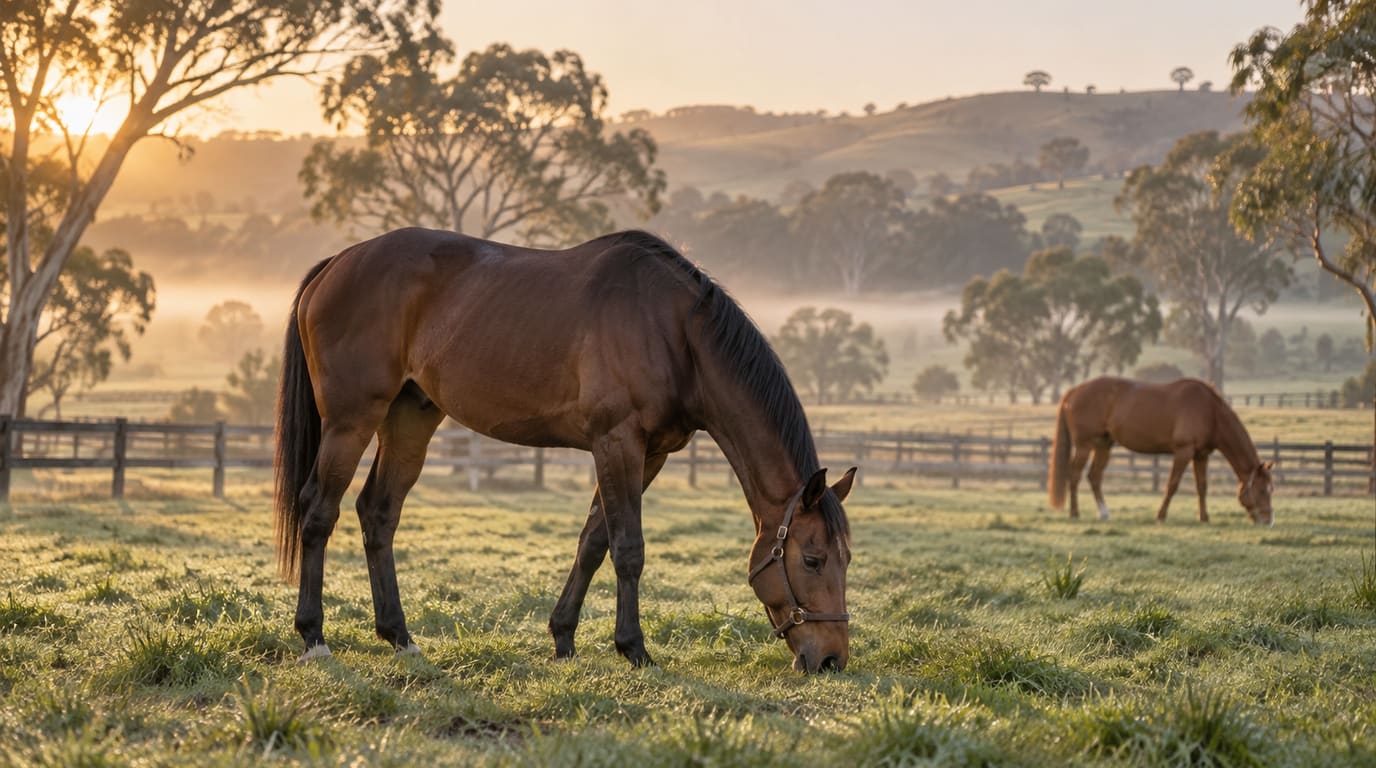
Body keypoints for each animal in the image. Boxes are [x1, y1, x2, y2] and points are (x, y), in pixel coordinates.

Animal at [273, 227, 857, 673]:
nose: (831, 659)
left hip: (410, 417)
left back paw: (400, 636)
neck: (673, 331)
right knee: (319, 511)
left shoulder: (649, 454)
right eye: (812, 558)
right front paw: (634, 649)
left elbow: (593, 541)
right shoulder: (617, 443)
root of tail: (336, 264)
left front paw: (563, 638)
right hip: (351, 419)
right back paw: (314, 637)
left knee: (378, 512)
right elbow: (628, 548)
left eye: (846, 558)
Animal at [1048, 377, 1274, 525]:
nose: (1268, 520)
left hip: (1103, 445)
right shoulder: (1183, 452)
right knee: (1074, 475)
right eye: (1262, 490)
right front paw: (1161, 516)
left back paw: (1104, 513)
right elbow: (1172, 485)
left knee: (1094, 477)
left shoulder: (1201, 456)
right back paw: (1075, 513)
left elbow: (1202, 487)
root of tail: (1073, 392)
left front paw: (1204, 518)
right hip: (1084, 446)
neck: (1210, 411)